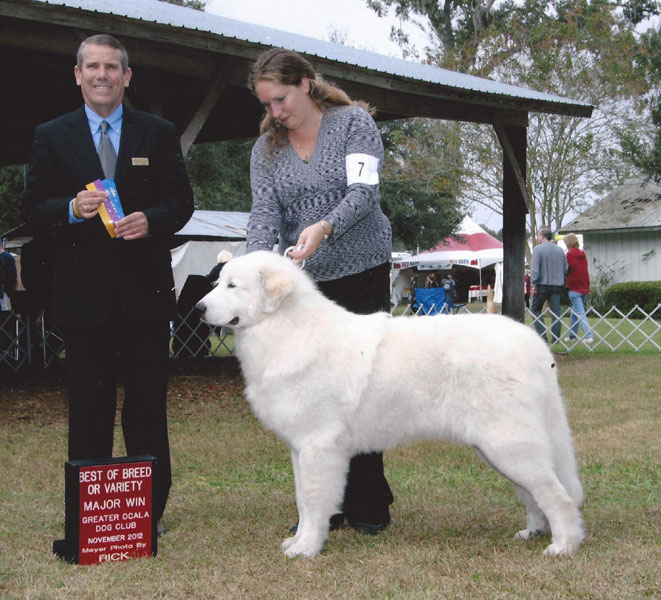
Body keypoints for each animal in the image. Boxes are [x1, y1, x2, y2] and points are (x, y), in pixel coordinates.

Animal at [196, 252, 584, 556]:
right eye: (218, 282)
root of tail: (534, 345)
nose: (198, 308)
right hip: (498, 449)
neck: (286, 329)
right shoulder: (299, 449)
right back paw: (533, 531)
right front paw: (298, 541)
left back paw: (563, 545)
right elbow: (303, 501)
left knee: (557, 495)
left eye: (232, 286)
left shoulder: (318, 449)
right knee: (535, 494)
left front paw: (307, 549)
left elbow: (314, 501)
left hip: (508, 445)